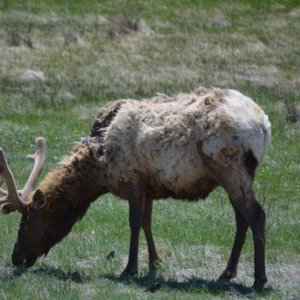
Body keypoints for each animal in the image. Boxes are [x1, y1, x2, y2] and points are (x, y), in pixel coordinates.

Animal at [0, 88, 270, 290]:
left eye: (25, 224)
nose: (15, 258)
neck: (99, 168)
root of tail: (264, 126)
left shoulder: (133, 180)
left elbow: (134, 224)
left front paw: (129, 269)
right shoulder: (148, 186)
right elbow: (147, 224)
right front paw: (154, 263)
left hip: (230, 168)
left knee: (257, 215)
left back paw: (259, 280)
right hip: (234, 177)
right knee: (242, 219)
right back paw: (227, 273)